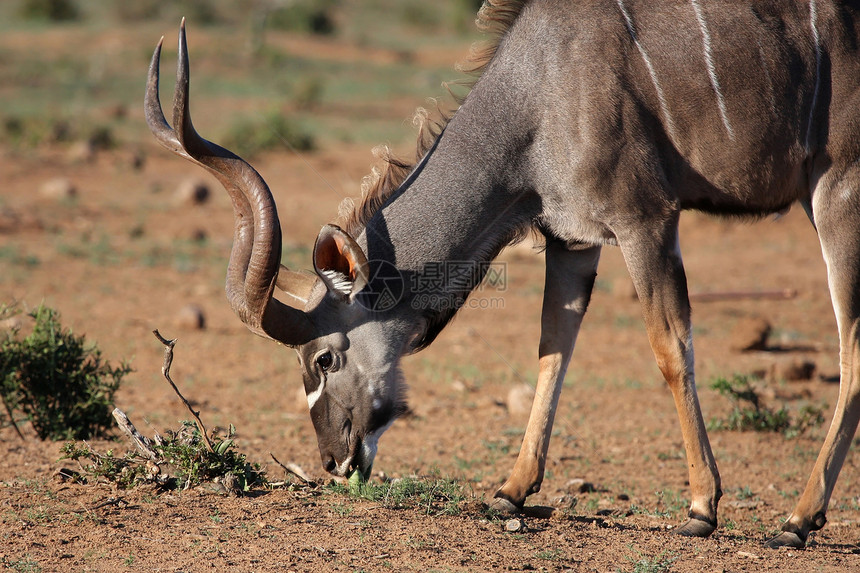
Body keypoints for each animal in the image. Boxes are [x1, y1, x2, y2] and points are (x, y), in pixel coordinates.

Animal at [148, 1, 860, 544]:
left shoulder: (646, 221)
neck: (537, 92)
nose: (334, 461)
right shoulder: (573, 239)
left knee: (851, 344)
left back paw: (797, 520)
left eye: (324, 358)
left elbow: (670, 349)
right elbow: (553, 348)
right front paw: (511, 492)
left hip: (836, 194)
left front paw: (701, 507)